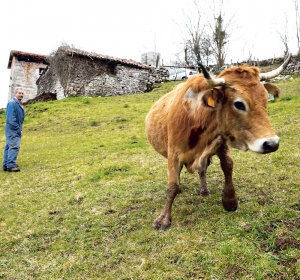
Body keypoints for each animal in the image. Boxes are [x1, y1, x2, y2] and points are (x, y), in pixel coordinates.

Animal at [146, 53, 292, 229]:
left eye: (266, 100)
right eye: (239, 104)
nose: (272, 143)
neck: (198, 116)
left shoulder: (221, 143)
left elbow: (227, 166)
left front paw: (230, 200)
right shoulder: (173, 153)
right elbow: (172, 185)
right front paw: (163, 219)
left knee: (202, 170)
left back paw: (204, 189)